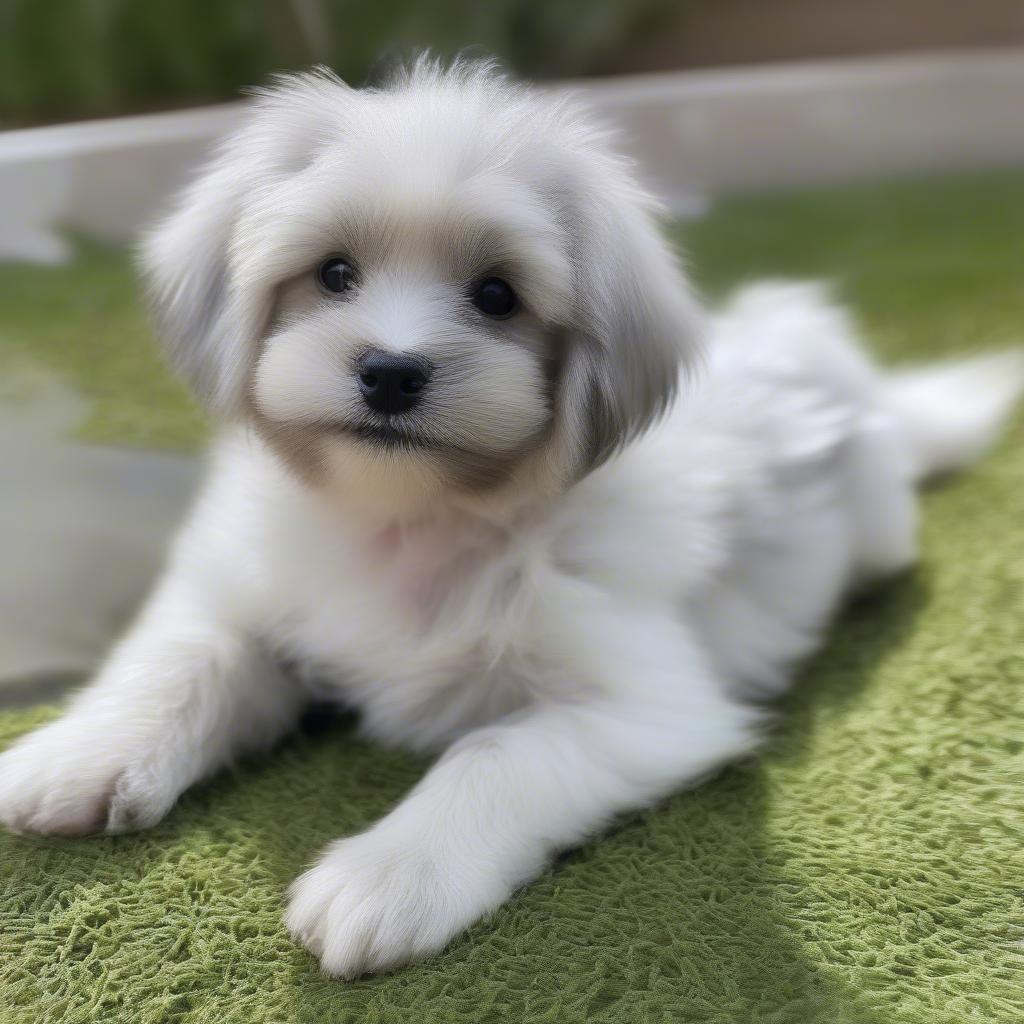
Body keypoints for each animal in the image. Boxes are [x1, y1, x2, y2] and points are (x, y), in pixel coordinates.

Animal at [2, 58, 1024, 974]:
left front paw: (385, 877)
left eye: (496, 295)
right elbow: (182, 660)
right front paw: (76, 757)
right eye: (333, 274)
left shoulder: (646, 709)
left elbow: (492, 755)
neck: (410, 522)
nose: (391, 371)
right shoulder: (243, 593)